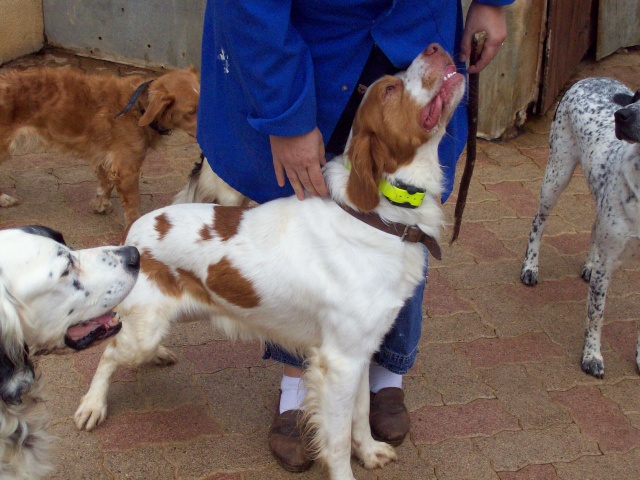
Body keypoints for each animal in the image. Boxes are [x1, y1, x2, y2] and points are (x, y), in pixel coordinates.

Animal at [0, 66, 200, 230]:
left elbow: (105, 184)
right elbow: (133, 205)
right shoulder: (127, 169)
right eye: (191, 111)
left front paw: (101, 204)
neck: (139, 108)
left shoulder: (105, 158)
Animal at [524, 78, 640, 378]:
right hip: (557, 174)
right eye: (639, 98)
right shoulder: (608, 262)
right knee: (538, 222)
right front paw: (592, 356)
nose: (621, 116)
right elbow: (596, 315)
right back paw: (530, 267)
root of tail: (588, 79)